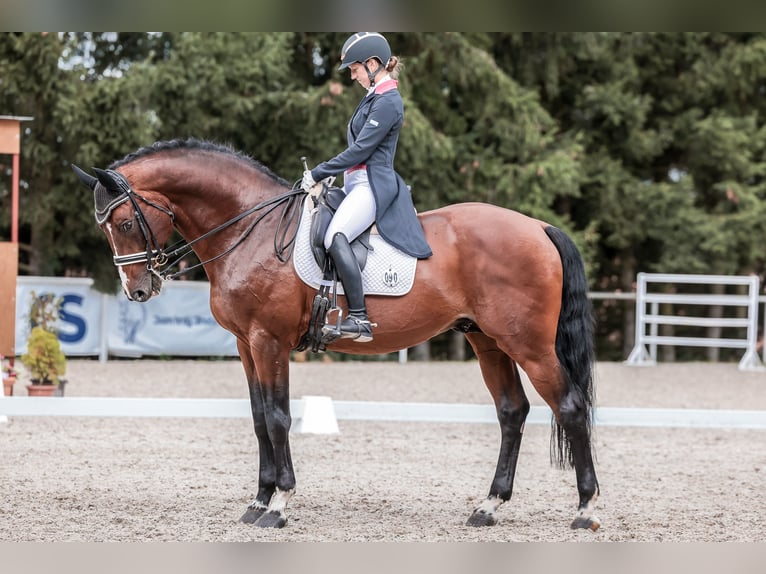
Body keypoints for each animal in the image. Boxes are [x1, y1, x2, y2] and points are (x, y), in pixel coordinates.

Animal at [70, 138, 600, 532]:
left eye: (124, 222)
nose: (139, 289)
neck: (249, 228)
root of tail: (538, 226)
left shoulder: (269, 341)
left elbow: (279, 418)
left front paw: (279, 505)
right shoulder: (246, 345)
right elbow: (259, 418)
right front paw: (257, 501)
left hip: (529, 344)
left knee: (570, 407)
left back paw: (586, 510)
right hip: (486, 340)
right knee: (512, 412)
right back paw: (489, 506)